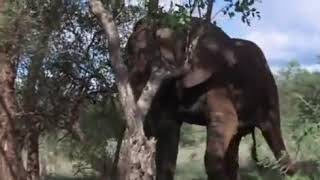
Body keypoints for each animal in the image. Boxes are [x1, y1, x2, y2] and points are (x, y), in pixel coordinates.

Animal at [125, 15, 296, 180]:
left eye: (153, 61)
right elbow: (168, 133)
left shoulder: (218, 81)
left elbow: (225, 121)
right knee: (235, 142)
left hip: (268, 91)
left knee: (272, 133)